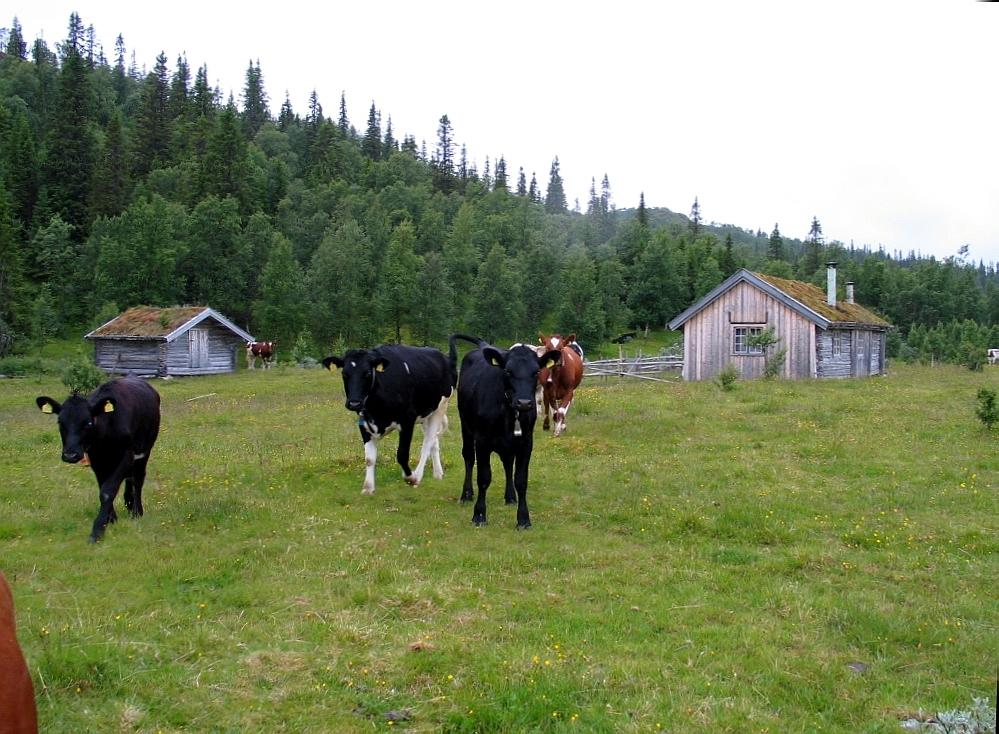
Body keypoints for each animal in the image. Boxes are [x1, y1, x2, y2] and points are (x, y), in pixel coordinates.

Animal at [36, 376, 160, 544]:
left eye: (88, 423)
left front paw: (98, 530)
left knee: (137, 479)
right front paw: (111, 519)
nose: (70, 455)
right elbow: (103, 487)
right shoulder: (96, 459)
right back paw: (129, 504)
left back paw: (136, 511)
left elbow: (108, 490)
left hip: (144, 450)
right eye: (60, 422)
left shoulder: (126, 455)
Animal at [322, 344, 456, 494]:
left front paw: (410, 477)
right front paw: (368, 488)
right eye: (344, 374)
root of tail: (443, 355)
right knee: (433, 441)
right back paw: (438, 474)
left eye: (367, 373)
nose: (354, 403)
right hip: (427, 413)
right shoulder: (364, 423)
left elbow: (402, 455)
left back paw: (418, 475)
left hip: (441, 406)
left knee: (427, 443)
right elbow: (369, 458)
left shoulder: (407, 420)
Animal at [452, 336, 564, 532]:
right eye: (508, 371)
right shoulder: (482, 441)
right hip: (465, 425)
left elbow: (521, 480)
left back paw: (510, 497)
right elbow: (483, 478)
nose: (524, 403)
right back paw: (466, 494)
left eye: (536, 372)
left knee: (507, 462)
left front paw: (523, 518)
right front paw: (479, 515)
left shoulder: (526, 442)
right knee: (468, 457)